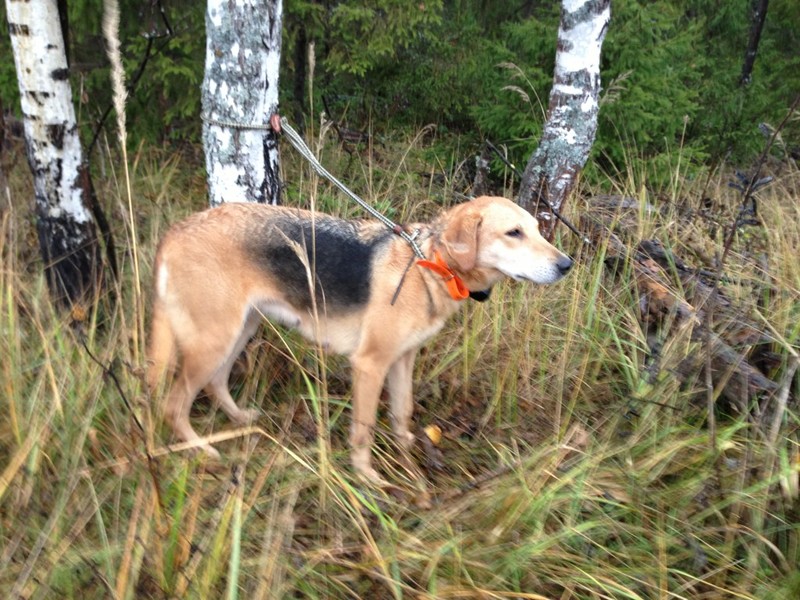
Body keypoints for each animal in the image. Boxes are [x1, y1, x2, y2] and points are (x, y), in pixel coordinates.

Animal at [147, 197, 572, 482]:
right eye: (514, 233)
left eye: (536, 229)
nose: (567, 264)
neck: (429, 266)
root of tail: (174, 231)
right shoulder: (370, 365)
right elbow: (364, 429)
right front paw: (366, 476)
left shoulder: (402, 360)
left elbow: (402, 411)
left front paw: (407, 448)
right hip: (213, 341)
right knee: (172, 405)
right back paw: (200, 449)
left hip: (240, 330)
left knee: (216, 383)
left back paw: (239, 419)